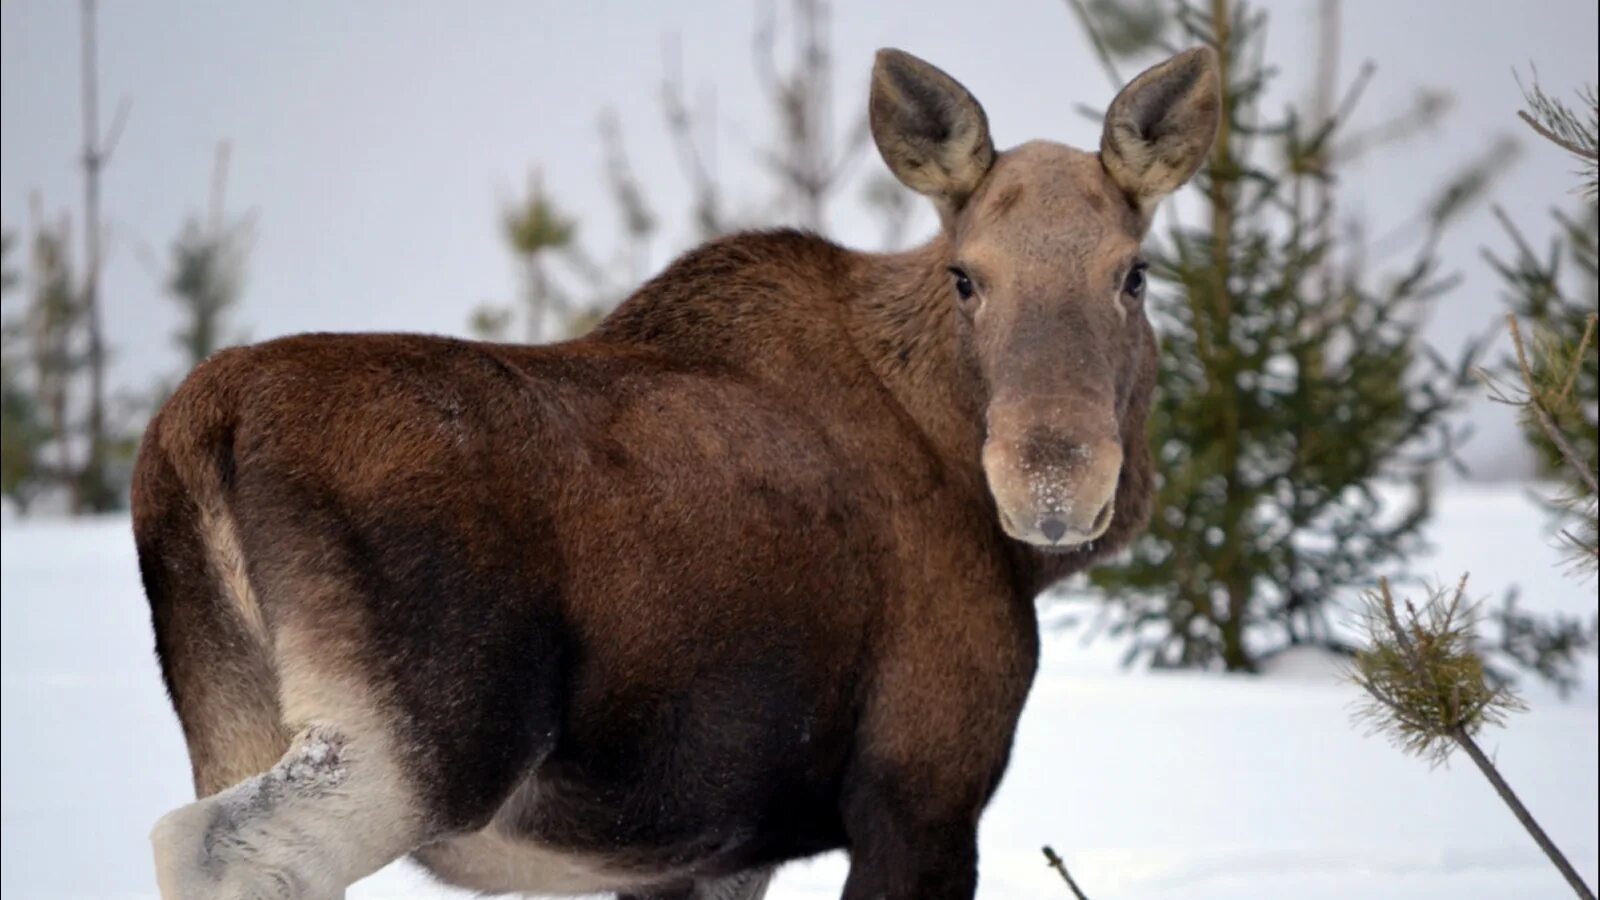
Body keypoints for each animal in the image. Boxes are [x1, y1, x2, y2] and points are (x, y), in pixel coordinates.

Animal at [137, 43, 1216, 896]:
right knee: (214, 848)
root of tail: (202, 426)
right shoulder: (923, 789)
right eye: (966, 275)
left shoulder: (713, 856)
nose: (1053, 486)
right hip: (424, 746)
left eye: (1133, 272)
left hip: (232, 718)